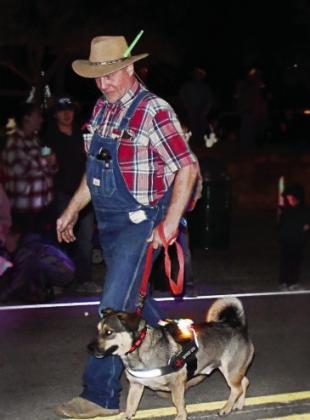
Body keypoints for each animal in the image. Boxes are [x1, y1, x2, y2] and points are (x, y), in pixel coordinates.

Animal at [91, 296, 254, 418]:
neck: (138, 348)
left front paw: (181, 416)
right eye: (98, 330)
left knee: (236, 389)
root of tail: (238, 326)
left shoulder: (177, 383)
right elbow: (130, 407)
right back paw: (239, 404)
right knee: (244, 383)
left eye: (109, 332)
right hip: (234, 370)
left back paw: (226, 408)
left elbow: (178, 402)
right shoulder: (136, 386)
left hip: (230, 370)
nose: (89, 348)